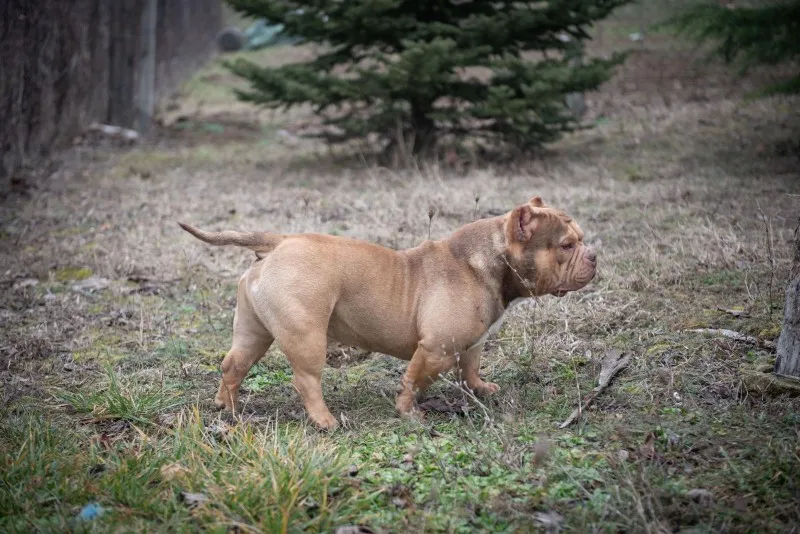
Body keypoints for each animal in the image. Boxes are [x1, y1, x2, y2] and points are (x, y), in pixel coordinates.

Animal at [179, 196, 596, 429]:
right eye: (567, 244)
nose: (593, 255)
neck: (486, 260)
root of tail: (280, 242)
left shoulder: (470, 343)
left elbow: (471, 367)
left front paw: (480, 388)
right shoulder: (436, 350)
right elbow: (414, 382)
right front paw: (408, 413)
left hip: (254, 332)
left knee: (234, 364)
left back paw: (227, 406)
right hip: (307, 335)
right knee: (306, 380)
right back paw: (325, 421)